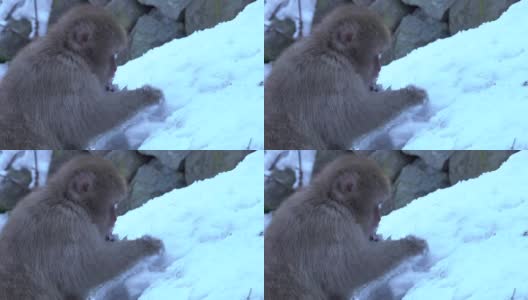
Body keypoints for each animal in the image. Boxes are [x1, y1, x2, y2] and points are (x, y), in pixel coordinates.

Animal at [0, 4, 163, 149]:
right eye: (112, 55)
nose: (115, 68)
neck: (66, 50)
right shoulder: (65, 77)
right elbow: (89, 118)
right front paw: (146, 95)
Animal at [0, 156, 163, 298]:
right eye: (112, 205)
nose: (115, 219)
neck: (66, 199)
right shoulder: (66, 226)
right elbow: (88, 268)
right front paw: (145, 245)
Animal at [266, 4, 426, 150]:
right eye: (376, 55)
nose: (379, 68)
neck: (330, 49)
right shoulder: (330, 76)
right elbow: (354, 118)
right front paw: (410, 95)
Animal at [266, 155, 426, 300]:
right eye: (376, 206)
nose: (379, 218)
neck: (330, 199)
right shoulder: (330, 226)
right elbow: (352, 269)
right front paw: (409, 245)